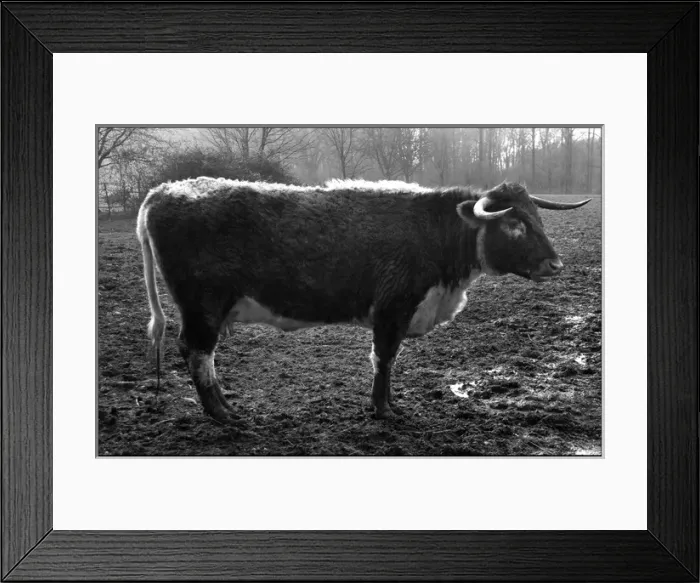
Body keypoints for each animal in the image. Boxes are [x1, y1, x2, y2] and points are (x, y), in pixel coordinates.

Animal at [136, 177, 590, 424]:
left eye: (537, 218)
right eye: (514, 224)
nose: (555, 264)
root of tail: (165, 190)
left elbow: (386, 362)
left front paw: (386, 405)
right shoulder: (393, 309)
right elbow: (383, 359)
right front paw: (382, 409)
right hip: (202, 307)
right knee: (197, 353)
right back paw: (222, 413)